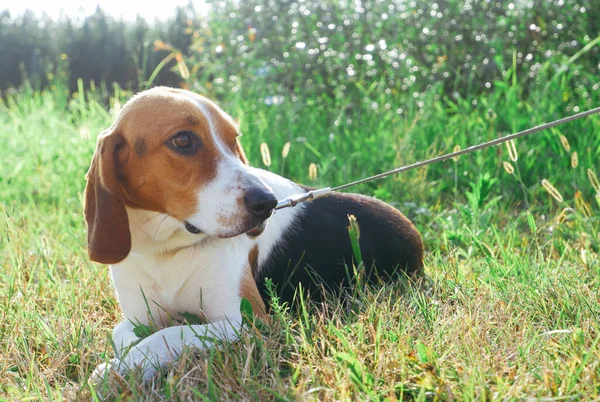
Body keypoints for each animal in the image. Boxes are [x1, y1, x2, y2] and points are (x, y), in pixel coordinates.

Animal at [86, 87, 424, 380]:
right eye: (182, 140)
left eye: (233, 139)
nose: (268, 203)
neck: (166, 251)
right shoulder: (138, 318)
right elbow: (122, 332)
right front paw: (128, 360)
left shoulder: (247, 322)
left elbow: (172, 333)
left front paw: (123, 368)